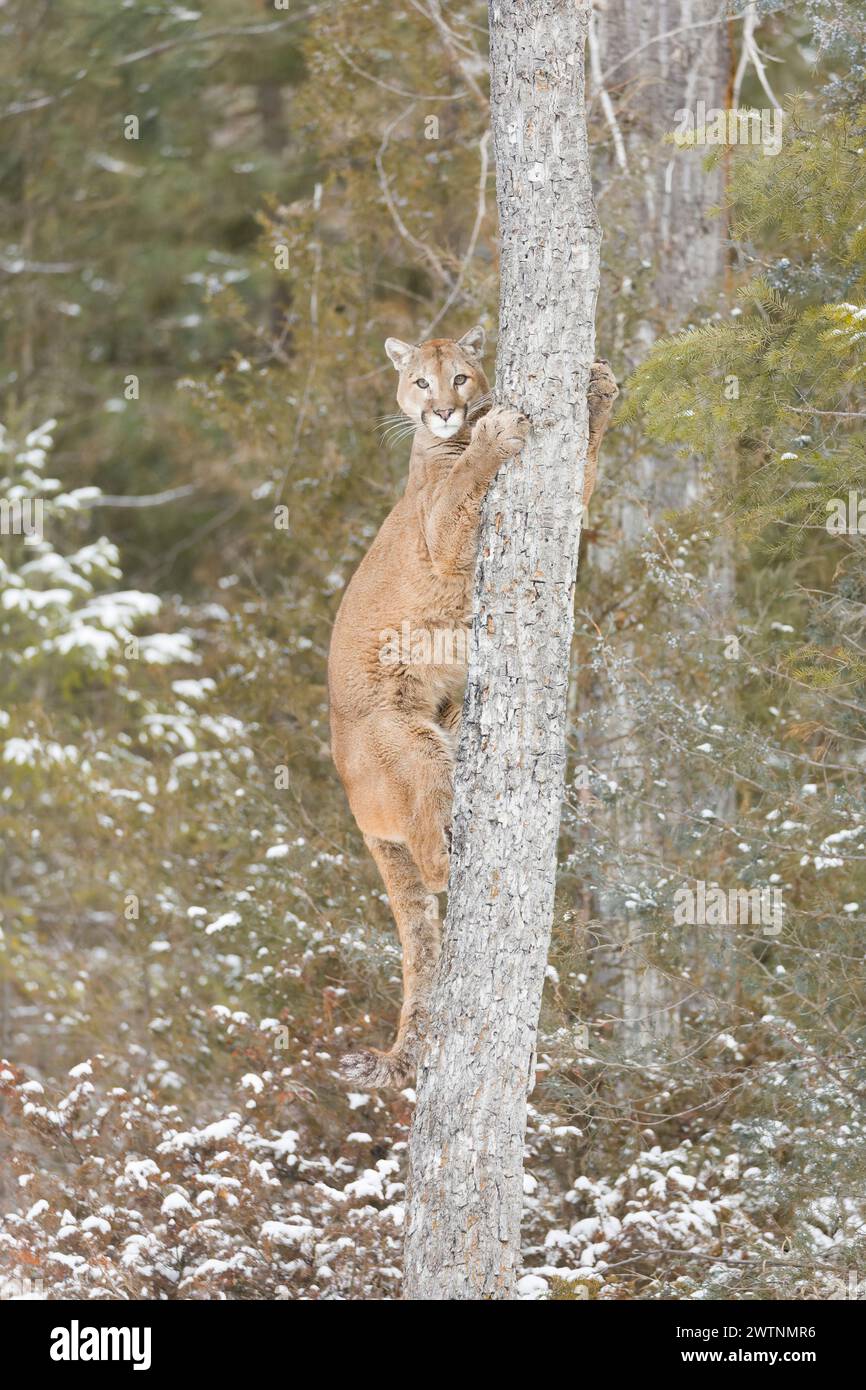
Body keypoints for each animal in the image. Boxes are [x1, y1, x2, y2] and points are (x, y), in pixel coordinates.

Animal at [325, 325, 617, 1084]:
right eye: (420, 383)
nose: (444, 413)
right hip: (411, 744)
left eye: (459, 376)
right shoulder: (445, 540)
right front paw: (494, 434)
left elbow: (584, 473)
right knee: (431, 863)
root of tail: (349, 793)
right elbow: (464, 485)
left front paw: (599, 388)